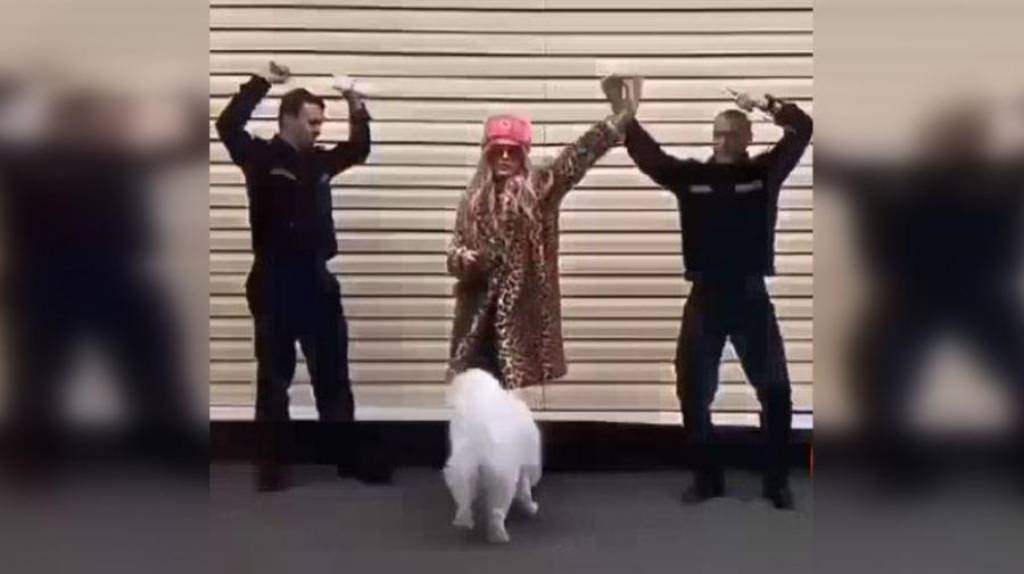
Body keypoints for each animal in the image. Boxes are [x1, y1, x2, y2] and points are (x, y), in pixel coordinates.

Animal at [443, 368, 542, 543]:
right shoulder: (526, 460)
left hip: (462, 471)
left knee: (463, 499)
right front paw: (531, 506)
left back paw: (463, 521)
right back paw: (498, 534)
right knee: (497, 510)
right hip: (502, 479)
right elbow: (525, 489)